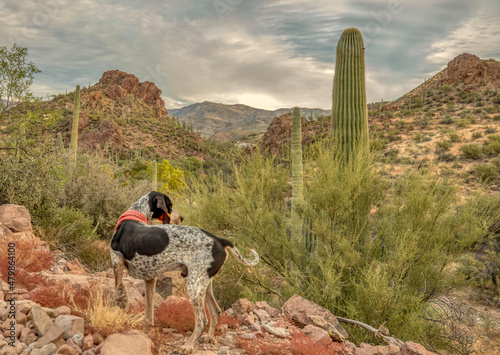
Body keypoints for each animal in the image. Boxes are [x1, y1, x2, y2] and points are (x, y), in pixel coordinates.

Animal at [109, 193, 258, 354]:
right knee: (216, 312)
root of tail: (219, 240)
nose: (181, 217)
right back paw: (209, 337)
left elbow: (119, 291)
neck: (134, 215)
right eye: (170, 206)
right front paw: (144, 335)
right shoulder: (150, 279)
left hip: (194, 287)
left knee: (202, 320)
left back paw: (188, 346)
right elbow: (148, 316)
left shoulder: (117, 263)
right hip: (204, 284)